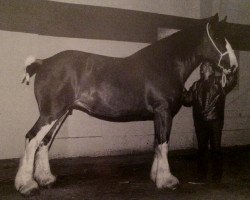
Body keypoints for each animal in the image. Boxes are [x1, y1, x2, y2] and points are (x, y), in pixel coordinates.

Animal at [15, 14, 238, 195]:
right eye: (219, 38)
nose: (234, 67)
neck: (166, 64)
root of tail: (43, 62)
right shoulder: (164, 111)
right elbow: (163, 143)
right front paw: (167, 181)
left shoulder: (157, 115)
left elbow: (157, 143)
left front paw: (156, 177)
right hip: (51, 113)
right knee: (32, 138)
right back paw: (27, 185)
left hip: (60, 114)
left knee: (44, 142)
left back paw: (45, 179)